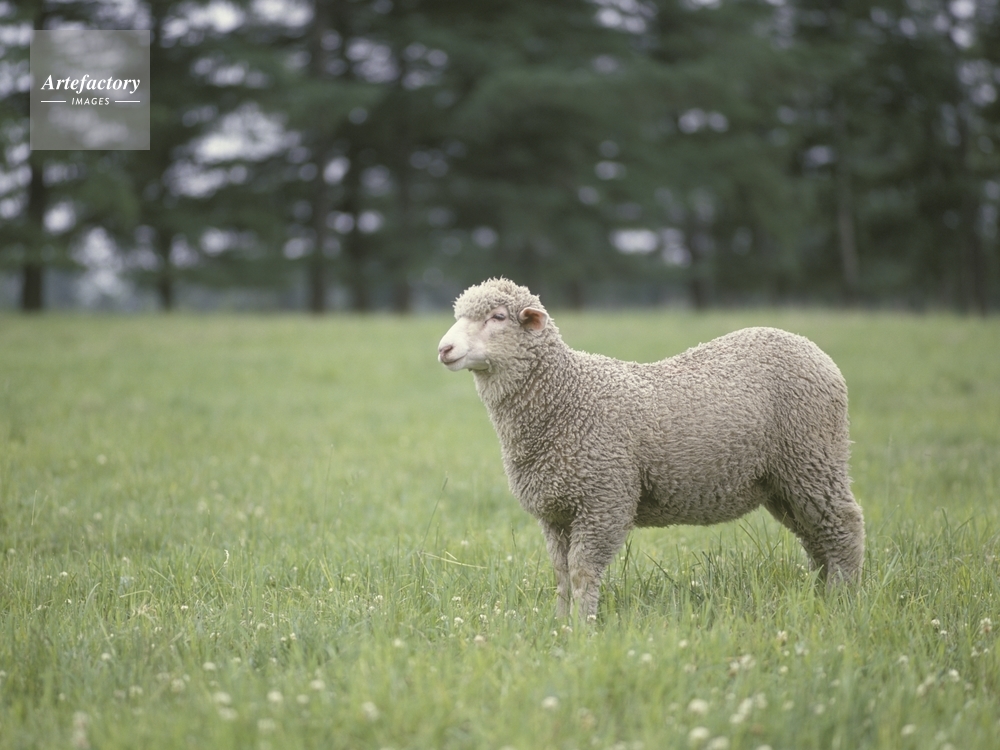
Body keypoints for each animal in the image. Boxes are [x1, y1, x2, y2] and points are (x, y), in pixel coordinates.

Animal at [437, 278, 865, 620]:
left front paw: (583, 628)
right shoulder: (555, 511)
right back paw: (822, 594)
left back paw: (844, 600)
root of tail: (810, 347)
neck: (567, 397)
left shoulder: (603, 501)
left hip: (812, 455)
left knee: (844, 525)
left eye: (498, 317)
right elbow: (560, 575)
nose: (444, 348)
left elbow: (582, 572)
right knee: (815, 536)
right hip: (783, 480)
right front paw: (559, 624)